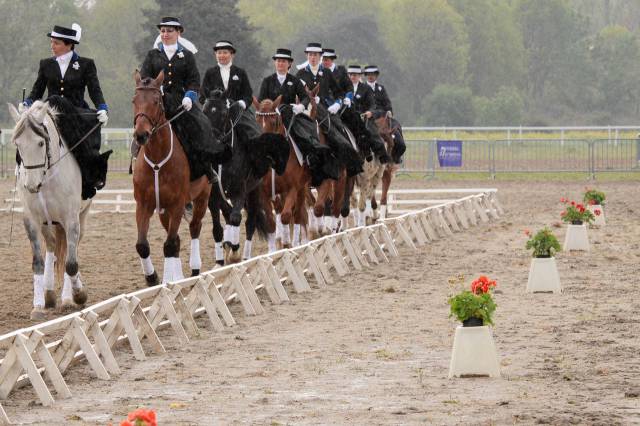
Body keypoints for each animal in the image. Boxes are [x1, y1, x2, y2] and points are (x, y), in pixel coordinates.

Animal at [8, 100, 91, 320]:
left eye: (40, 143)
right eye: (18, 145)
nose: (31, 186)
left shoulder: (71, 220)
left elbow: (71, 264)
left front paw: (78, 296)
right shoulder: (32, 220)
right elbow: (38, 261)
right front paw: (37, 306)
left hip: (81, 216)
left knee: (71, 252)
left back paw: (68, 298)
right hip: (48, 222)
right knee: (53, 246)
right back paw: (49, 294)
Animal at [132, 71, 212, 286]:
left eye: (156, 101)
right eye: (134, 100)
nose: (141, 135)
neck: (157, 159)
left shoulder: (177, 205)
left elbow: (168, 245)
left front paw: (167, 283)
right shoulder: (144, 205)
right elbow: (142, 245)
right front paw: (152, 278)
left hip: (202, 198)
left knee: (194, 228)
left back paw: (194, 269)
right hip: (163, 211)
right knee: (176, 239)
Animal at [202, 90, 288, 262]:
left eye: (223, 113)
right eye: (204, 111)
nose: (212, 141)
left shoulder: (240, 190)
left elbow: (236, 218)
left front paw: (235, 254)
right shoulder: (213, 197)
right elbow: (217, 228)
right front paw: (221, 259)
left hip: (255, 192)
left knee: (250, 222)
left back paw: (245, 256)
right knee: (228, 214)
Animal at [256, 95, 314, 251]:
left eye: (274, 121)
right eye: (257, 120)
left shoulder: (292, 188)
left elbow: (286, 216)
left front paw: (288, 243)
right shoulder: (264, 193)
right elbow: (270, 223)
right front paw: (273, 250)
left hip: (301, 188)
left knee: (299, 214)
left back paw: (299, 242)